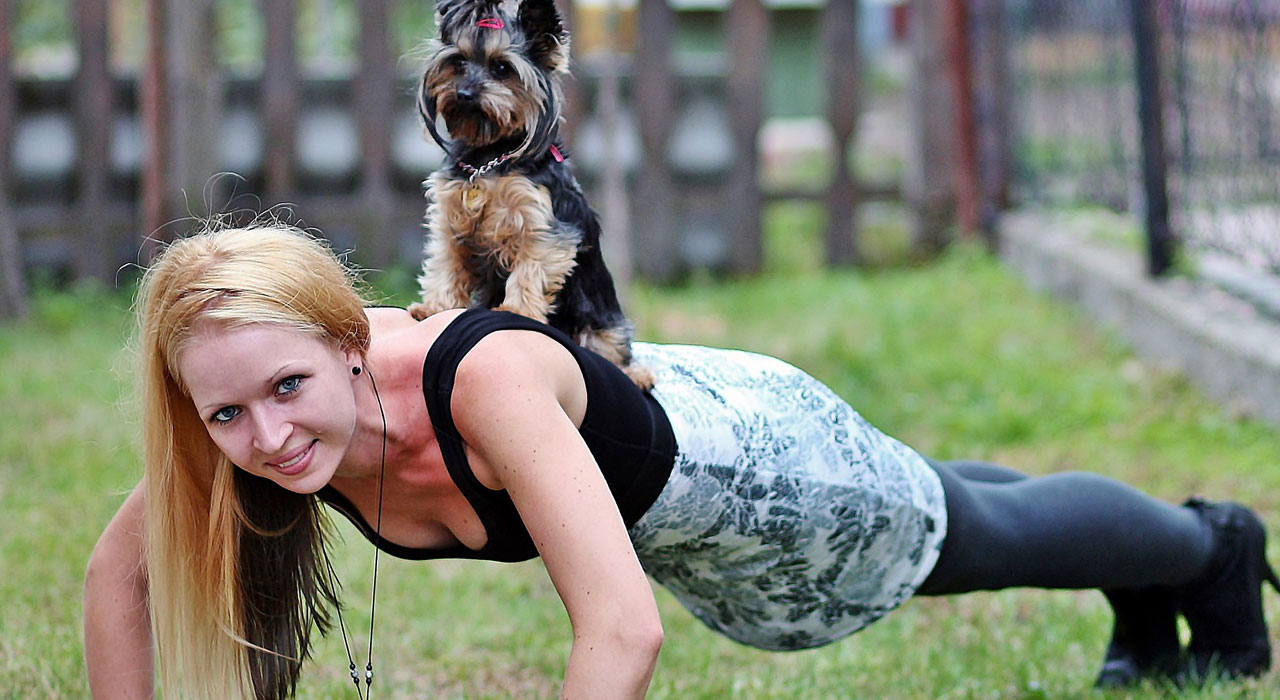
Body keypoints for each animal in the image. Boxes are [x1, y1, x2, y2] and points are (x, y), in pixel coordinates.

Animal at [407, 0, 655, 389]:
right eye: (458, 62)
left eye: (502, 68)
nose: (463, 94)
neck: (489, 157)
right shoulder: (450, 222)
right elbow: (445, 263)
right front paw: (435, 307)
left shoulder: (543, 227)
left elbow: (530, 271)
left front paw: (514, 311)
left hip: (601, 321)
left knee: (613, 349)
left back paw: (637, 374)